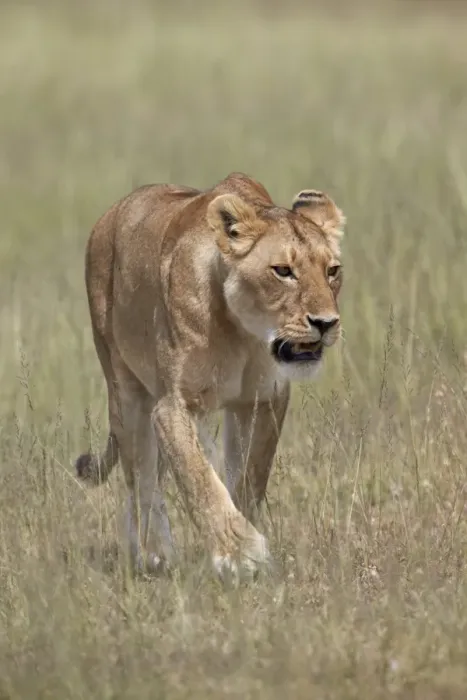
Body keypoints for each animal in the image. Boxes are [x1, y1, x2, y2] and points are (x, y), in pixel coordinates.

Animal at [75, 172, 346, 584]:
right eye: (283, 271)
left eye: (332, 271)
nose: (326, 323)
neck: (243, 334)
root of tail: (110, 214)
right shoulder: (171, 408)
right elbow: (199, 478)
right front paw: (240, 556)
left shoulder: (263, 400)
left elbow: (248, 477)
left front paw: (244, 540)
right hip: (126, 392)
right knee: (141, 482)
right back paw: (154, 554)